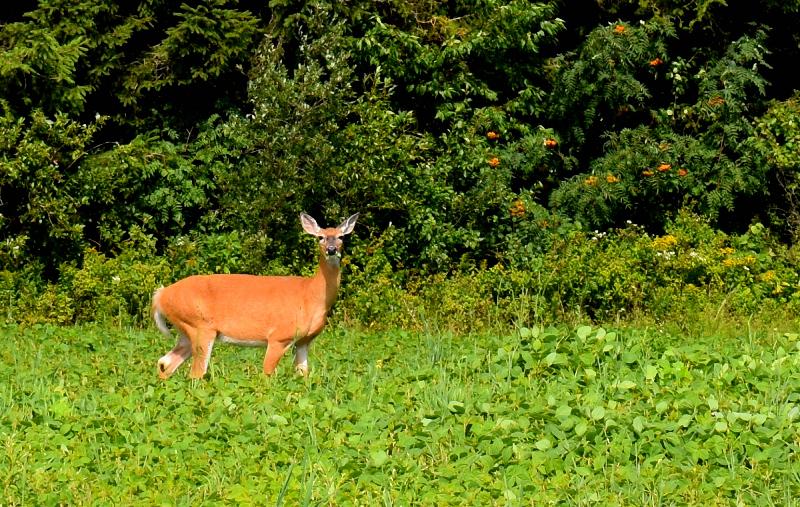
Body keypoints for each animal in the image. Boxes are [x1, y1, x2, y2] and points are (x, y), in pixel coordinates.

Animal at [152, 212, 358, 380]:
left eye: (341, 237)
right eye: (320, 237)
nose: (331, 250)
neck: (311, 295)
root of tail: (161, 295)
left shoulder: (303, 341)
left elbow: (303, 375)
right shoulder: (278, 336)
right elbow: (267, 374)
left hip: (186, 331)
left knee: (165, 363)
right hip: (199, 326)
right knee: (196, 372)